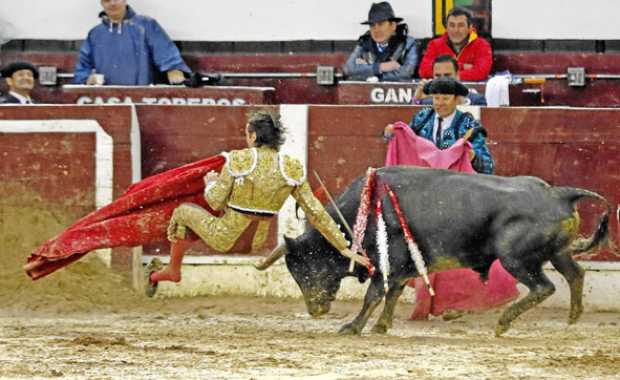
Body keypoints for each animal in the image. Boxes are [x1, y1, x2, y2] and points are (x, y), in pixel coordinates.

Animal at [258, 166, 612, 336]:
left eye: (306, 264)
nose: (315, 310)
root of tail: (558, 193)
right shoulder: (401, 269)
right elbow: (392, 295)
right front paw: (381, 326)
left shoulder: (388, 264)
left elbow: (374, 295)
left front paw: (352, 327)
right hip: (556, 252)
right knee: (575, 274)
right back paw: (573, 317)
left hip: (515, 259)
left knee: (544, 286)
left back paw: (503, 323)